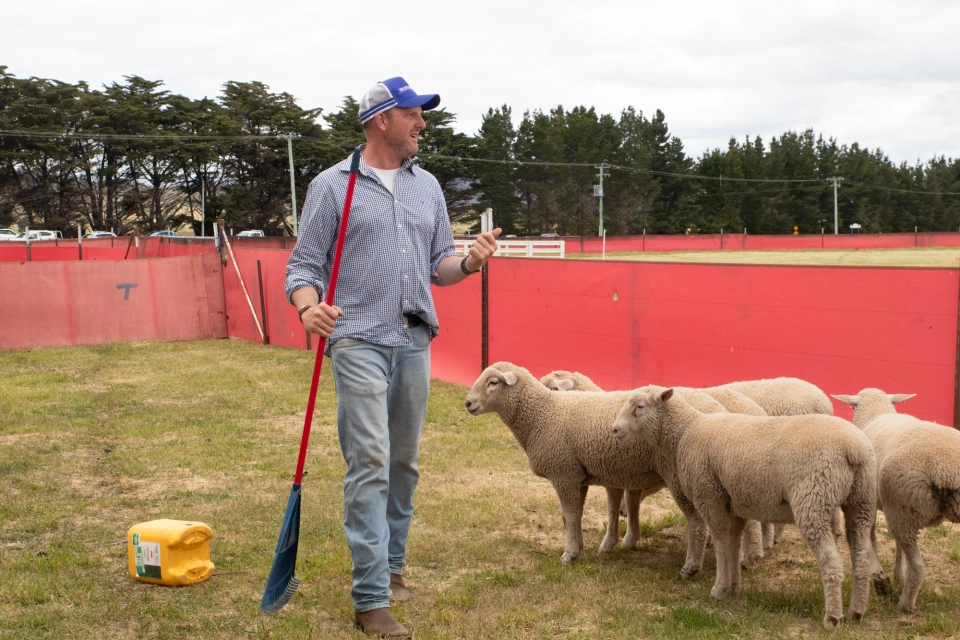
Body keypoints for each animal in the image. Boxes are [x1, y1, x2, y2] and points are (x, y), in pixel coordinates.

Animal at [467, 362, 717, 574]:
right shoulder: (578, 475)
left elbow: (569, 515)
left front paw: (568, 554)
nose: (467, 403)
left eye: (493, 382)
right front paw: (578, 546)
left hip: (680, 476)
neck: (542, 414)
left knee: (697, 520)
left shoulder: (564, 473)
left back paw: (692, 567)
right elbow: (575, 514)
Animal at [611, 387, 877, 628]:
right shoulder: (734, 504)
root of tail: (854, 450)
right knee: (861, 556)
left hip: (814, 500)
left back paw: (832, 617)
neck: (685, 431)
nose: (614, 429)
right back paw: (856, 612)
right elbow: (733, 544)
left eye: (640, 406)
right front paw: (733, 586)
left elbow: (720, 544)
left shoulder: (710, 496)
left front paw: (718, 588)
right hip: (861, 502)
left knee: (831, 561)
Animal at [833, 389, 960, 613]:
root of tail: (946, 468)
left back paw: (905, 605)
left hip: (903, 510)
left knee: (917, 567)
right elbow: (895, 546)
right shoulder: (891, 506)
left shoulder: (874, 502)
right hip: (906, 510)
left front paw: (880, 576)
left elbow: (872, 538)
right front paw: (898, 574)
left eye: (852, 407)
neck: (876, 413)